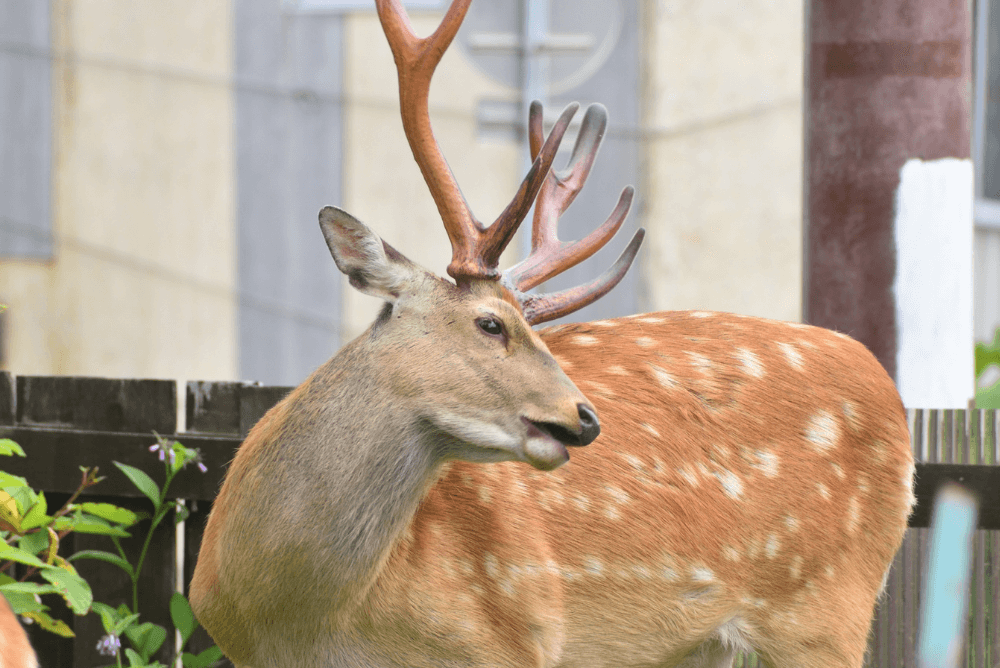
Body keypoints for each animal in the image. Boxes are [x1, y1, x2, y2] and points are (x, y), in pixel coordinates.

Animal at [188, 1, 916, 668]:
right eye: (491, 323)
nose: (585, 417)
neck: (299, 618)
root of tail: (887, 386)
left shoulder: (513, 642)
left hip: (825, 606)